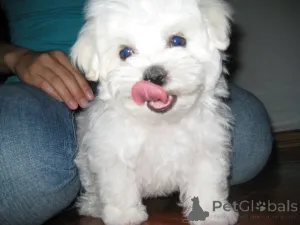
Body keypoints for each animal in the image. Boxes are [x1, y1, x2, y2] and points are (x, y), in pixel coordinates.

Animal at [71, 0, 239, 225]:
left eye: (177, 40)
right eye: (125, 53)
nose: (154, 76)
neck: (162, 122)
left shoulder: (206, 149)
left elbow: (206, 182)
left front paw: (213, 214)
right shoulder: (113, 152)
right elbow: (119, 185)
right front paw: (125, 215)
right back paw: (93, 206)